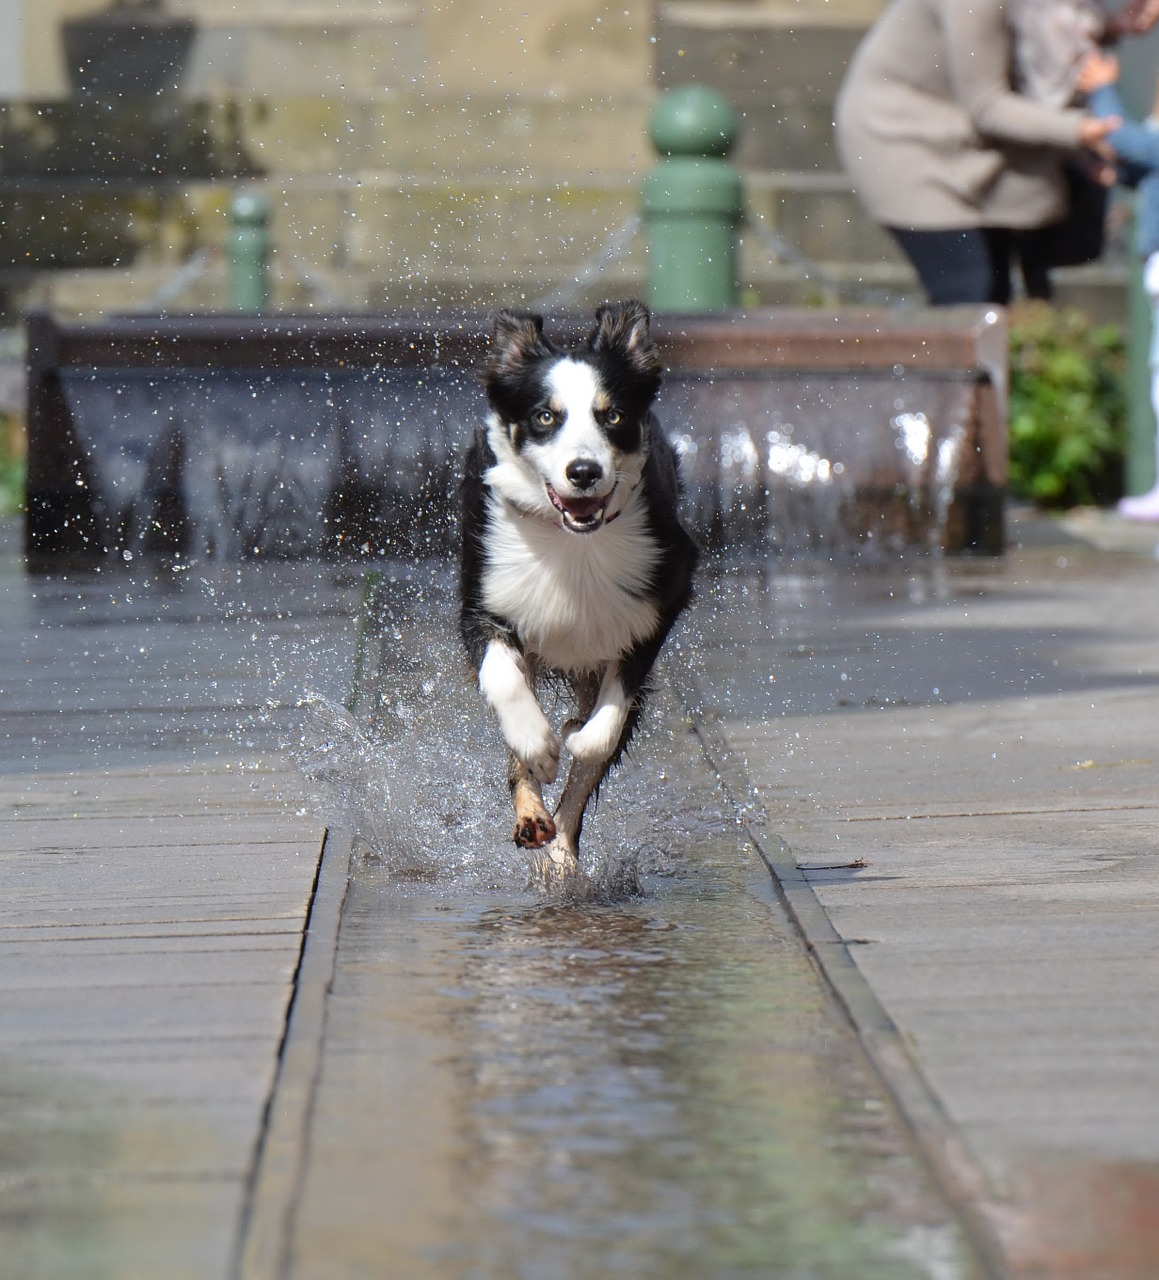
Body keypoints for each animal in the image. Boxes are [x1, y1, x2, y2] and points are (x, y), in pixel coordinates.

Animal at [458, 302, 696, 870]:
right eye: (546, 416)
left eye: (613, 416)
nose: (584, 471)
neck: (574, 544)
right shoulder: (484, 598)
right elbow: (505, 683)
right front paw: (540, 746)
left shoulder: (662, 598)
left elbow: (604, 729)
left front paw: (575, 737)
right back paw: (533, 818)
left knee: (585, 776)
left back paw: (560, 853)